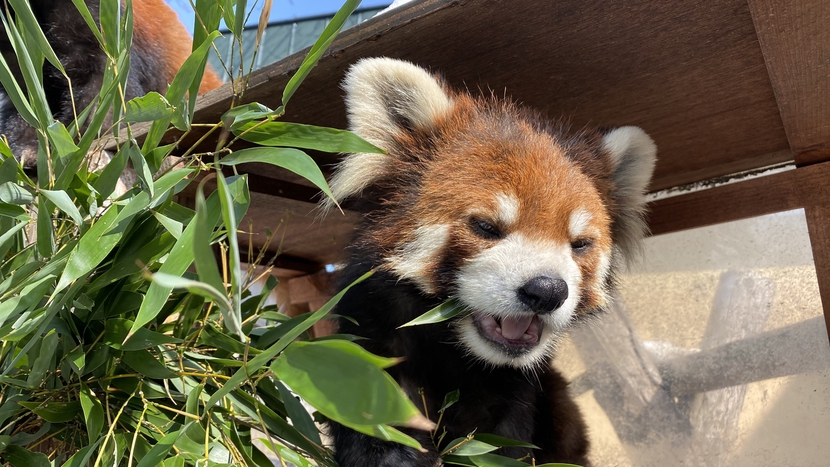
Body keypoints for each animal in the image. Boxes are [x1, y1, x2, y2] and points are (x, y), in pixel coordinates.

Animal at [324, 58, 656, 467]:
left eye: (579, 244)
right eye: (486, 227)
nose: (547, 291)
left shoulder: (515, 390)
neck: (457, 351)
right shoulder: (372, 330)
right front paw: (391, 453)